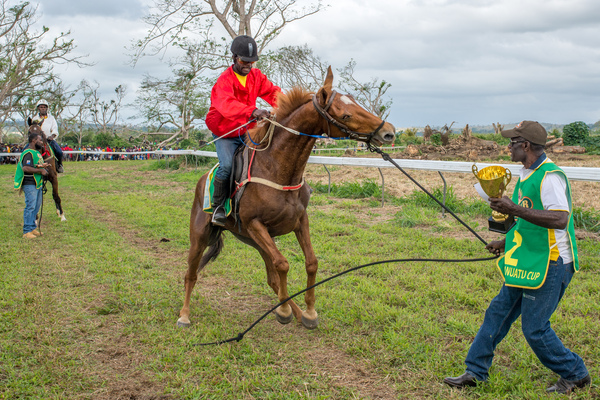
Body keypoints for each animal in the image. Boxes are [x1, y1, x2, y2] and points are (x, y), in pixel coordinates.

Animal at [176, 68, 396, 328]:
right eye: (346, 114)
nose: (388, 131)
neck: (277, 168)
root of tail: (203, 179)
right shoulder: (255, 224)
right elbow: (283, 264)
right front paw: (284, 311)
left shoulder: (299, 221)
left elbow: (310, 263)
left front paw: (308, 312)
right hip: (202, 234)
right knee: (191, 273)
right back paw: (184, 315)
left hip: (252, 239)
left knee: (271, 278)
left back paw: (297, 312)